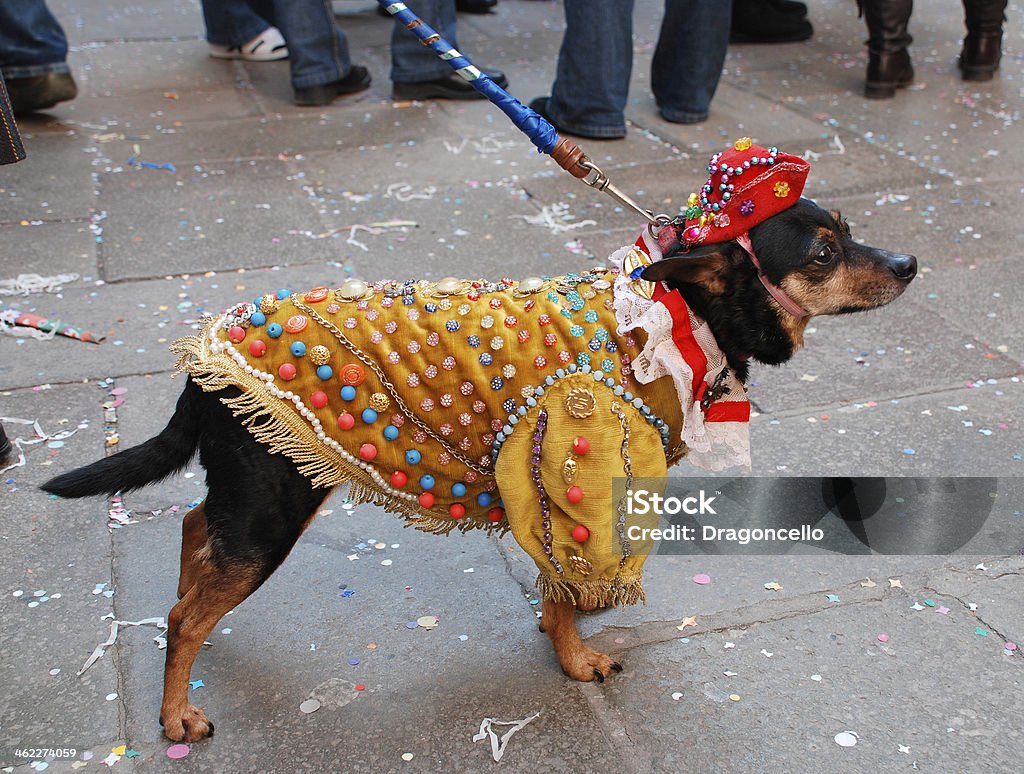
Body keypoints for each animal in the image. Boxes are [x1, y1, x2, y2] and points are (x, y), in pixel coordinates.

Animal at [41, 142, 921, 741]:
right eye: (824, 254)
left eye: (852, 230)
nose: (911, 261)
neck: (674, 313)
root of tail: (202, 364)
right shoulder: (578, 477)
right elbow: (569, 591)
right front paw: (576, 661)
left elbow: (559, 586)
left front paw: (561, 632)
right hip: (270, 508)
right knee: (187, 616)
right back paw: (175, 713)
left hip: (253, 493)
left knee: (194, 536)